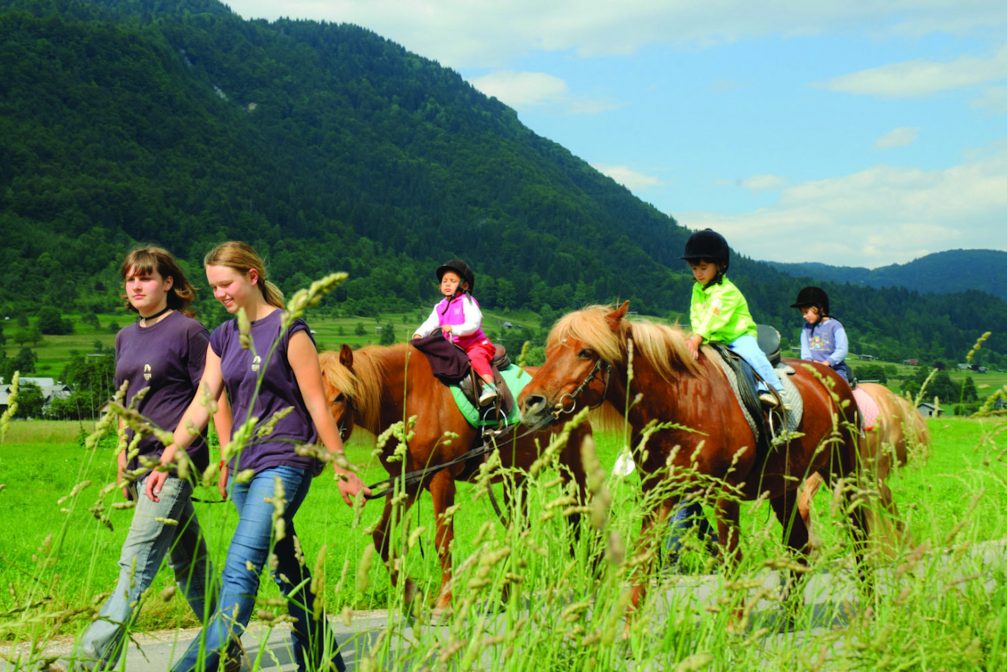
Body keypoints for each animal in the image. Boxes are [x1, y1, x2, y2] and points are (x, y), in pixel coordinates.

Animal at [320, 344, 588, 608]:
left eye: (341, 396)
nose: (321, 443)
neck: (410, 397)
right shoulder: (407, 484)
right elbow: (380, 536)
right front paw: (410, 593)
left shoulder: (441, 480)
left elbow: (443, 541)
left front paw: (445, 600)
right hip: (515, 481)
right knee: (519, 530)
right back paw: (505, 592)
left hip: (572, 472)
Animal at [515, 302, 870, 608]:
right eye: (550, 351)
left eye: (586, 351)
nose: (530, 402)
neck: (680, 403)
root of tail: (833, 379)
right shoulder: (659, 494)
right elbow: (644, 558)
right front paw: (628, 630)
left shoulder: (725, 496)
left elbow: (732, 560)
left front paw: (733, 627)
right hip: (784, 485)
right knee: (799, 546)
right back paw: (789, 615)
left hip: (844, 473)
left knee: (859, 537)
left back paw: (870, 605)